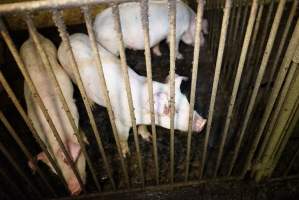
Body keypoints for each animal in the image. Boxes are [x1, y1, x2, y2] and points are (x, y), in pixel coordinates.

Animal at [57, 34, 207, 156]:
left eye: (188, 101)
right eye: (172, 110)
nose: (203, 122)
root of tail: (66, 40)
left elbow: (142, 127)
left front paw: (149, 137)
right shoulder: (121, 121)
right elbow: (122, 136)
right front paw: (125, 154)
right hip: (70, 73)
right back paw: (92, 106)